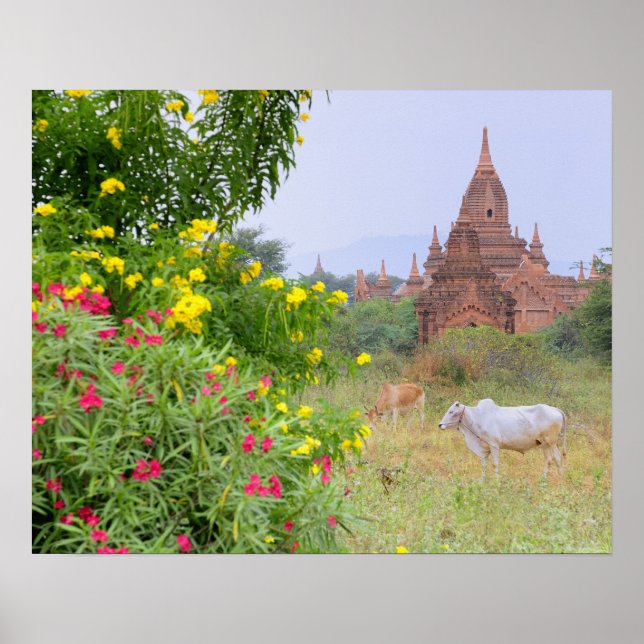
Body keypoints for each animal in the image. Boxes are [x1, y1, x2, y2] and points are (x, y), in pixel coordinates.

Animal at [438, 399, 567, 478]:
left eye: (451, 412)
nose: (440, 425)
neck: (477, 418)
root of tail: (554, 409)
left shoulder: (494, 445)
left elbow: (495, 464)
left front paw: (497, 482)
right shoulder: (485, 448)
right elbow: (484, 465)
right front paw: (482, 481)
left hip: (548, 443)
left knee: (549, 460)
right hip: (549, 444)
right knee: (557, 458)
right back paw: (560, 477)